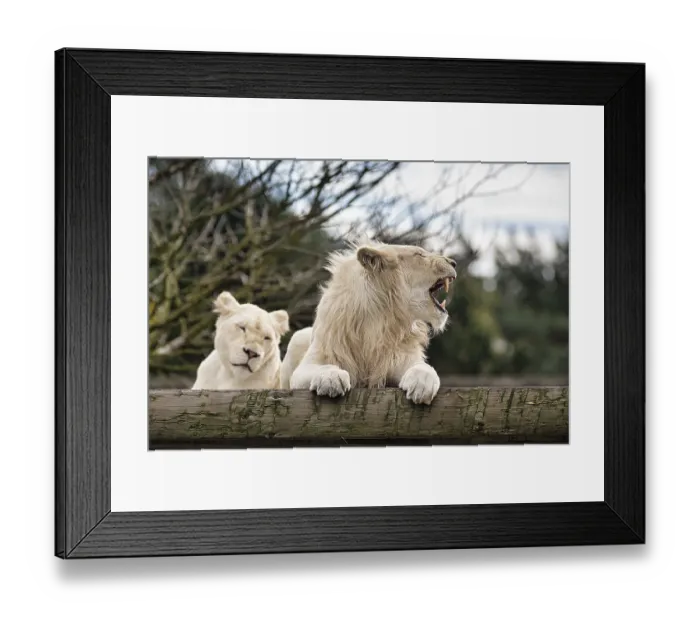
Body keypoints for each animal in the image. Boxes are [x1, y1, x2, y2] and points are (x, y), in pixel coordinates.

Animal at [288, 242, 457, 404]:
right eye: (419, 254)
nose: (454, 263)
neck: (380, 320)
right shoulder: (308, 365)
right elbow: (323, 366)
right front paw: (331, 377)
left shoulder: (399, 359)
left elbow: (424, 367)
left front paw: (421, 385)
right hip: (298, 337)